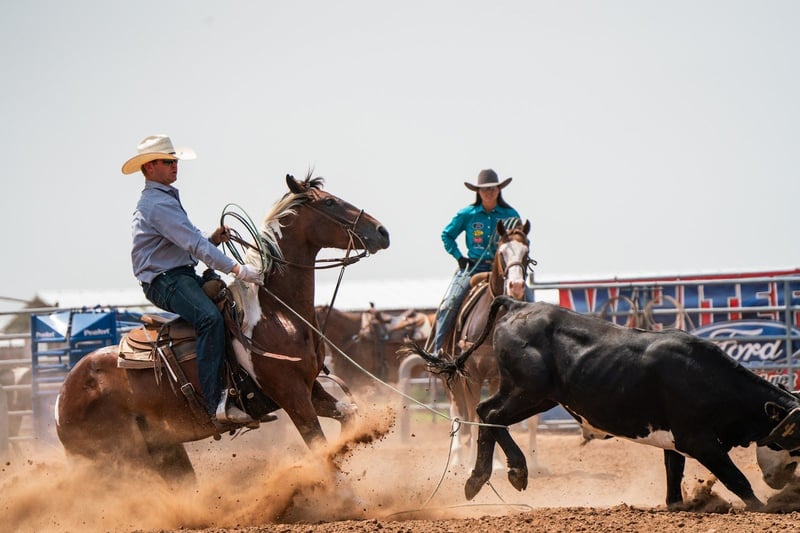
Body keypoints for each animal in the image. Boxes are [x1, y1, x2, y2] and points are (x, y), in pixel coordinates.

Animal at [55, 174, 390, 483]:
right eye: (329, 202)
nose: (382, 231)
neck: (276, 312)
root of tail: (61, 399)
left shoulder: (309, 388)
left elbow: (349, 414)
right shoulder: (291, 394)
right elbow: (320, 449)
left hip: (165, 450)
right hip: (123, 459)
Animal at [404, 295, 800, 509]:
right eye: (795, 440)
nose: (786, 480)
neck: (709, 377)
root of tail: (518, 305)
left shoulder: (675, 441)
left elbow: (673, 477)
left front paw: (680, 505)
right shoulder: (699, 440)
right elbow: (737, 479)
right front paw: (766, 508)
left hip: (532, 394)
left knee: (486, 412)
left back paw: (487, 477)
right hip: (530, 391)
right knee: (492, 415)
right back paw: (507, 472)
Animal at [430, 218, 540, 469]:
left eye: (527, 252)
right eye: (501, 252)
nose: (516, 286)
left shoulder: (498, 377)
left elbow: (492, 418)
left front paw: (496, 462)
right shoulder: (472, 375)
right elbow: (472, 415)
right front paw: (473, 460)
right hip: (450, 376)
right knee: (457, 410)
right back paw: (456, 457)